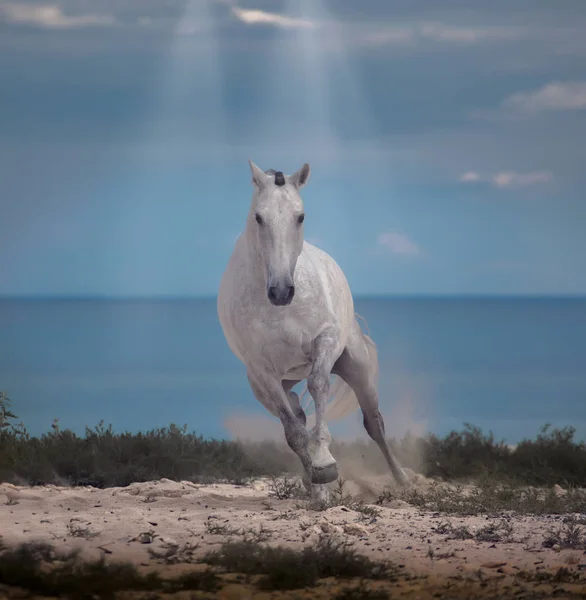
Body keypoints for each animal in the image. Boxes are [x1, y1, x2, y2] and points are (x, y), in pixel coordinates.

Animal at [216, 162, 406, 494]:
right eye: (259, 217)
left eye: (300, 216)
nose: (281, 291)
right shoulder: (261, 370)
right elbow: (293, 430)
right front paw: (319, 477)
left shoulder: (324, 341)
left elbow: (319, 385)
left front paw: (325, 459)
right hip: (271, 385)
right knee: (296, 412)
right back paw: (314, 485)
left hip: (357, 369)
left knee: (374, 423)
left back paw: (403, 480)